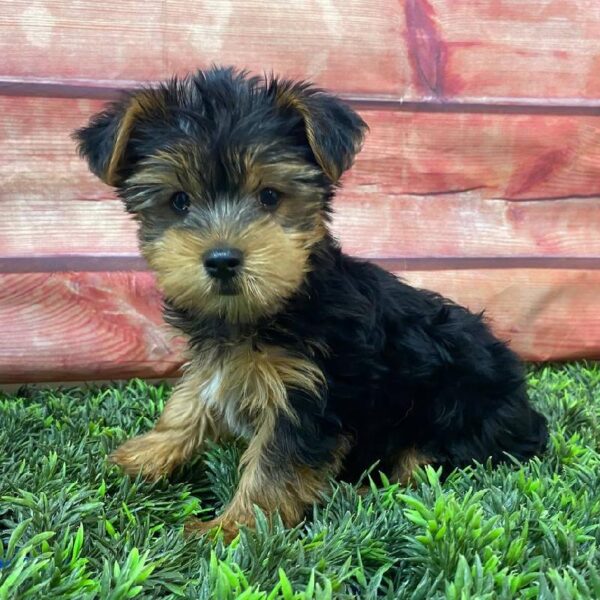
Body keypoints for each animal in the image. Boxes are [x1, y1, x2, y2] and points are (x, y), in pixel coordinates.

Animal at [75, 68, 548, 540]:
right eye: (179, 201)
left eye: (269, 196)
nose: (222, 259)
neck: (273, 306)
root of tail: (527, 413)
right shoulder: (220, 362)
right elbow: (191, 399)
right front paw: (147, 453)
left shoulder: (310, 393)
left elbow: (273, 467)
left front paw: (231, 530)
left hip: (460, 408)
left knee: (431, 469)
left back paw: (364, 494)